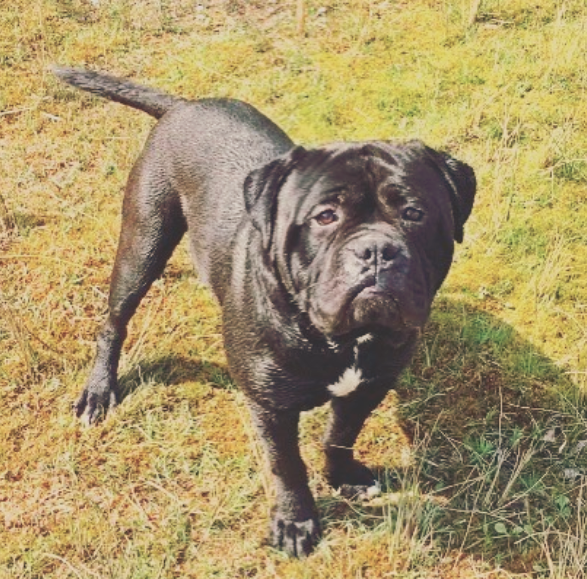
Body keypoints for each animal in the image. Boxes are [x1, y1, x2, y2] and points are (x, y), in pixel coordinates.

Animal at [55, 68, 478, 556]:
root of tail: (184, 105)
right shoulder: (270, 407)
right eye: (325, 217)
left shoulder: (370, 384)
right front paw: (296, 522)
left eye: (414, 213)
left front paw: (343, 477)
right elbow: (287, 464)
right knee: (115, 322)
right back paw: (99, 391)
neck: (341, 340)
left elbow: (341, 436)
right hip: (143, 241)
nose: (375, 250)